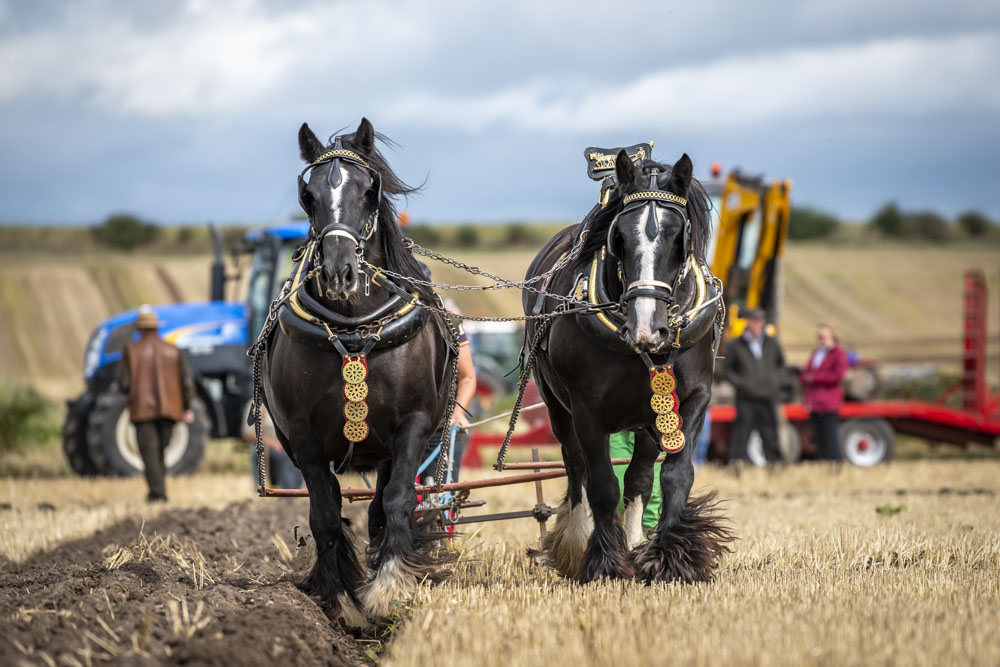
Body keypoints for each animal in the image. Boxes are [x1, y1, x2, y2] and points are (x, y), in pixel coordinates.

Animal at [261, 118, 455, 623]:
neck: (352, 329)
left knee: (382, 505)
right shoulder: (302, 438)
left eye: (369, 191)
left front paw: (386, 588)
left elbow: (397, 500)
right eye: (308, 195)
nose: (338, 273)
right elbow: (325, 515)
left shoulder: (412, 427)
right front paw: (340, 600)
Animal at [522, 150, 733, 583]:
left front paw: (671, 558)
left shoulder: (693, 399)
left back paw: (636, 542)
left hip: (650, 417)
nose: (647, 327)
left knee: (639, 476)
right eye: (619, 237)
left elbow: (675, 475)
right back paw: (576, 542)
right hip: (557, 406)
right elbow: (603, 485)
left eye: (678, 236)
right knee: (576, 468)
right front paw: (604, 563)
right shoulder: (587, 410)